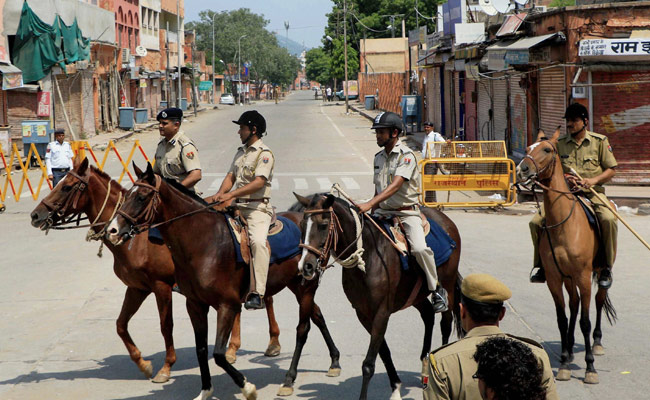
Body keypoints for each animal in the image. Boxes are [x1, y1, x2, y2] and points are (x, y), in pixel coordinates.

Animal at [27, 155, 288, 382]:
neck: (136, 240)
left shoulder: (160, 285)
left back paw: (273, 343)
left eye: (67, 187)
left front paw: (166, 367)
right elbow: (120, 325)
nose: (35, 215)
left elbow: (166, 325)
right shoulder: (137, 288)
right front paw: (143, 364)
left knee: (266, 298)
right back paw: (234, 348)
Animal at [102, 162, 340, 400]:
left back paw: (290, 379)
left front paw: (247, 387)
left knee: (303, 328)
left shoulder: (227, 305)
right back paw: (334, 361)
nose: (112, 230)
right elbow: (201, 350)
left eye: (141, 197)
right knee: (317, 315)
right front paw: (205, 390)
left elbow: (218, 353)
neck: (204, 243)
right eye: (127, 195)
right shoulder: (195, 305)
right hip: (296, 285)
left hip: (306, 286)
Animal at [294, 192, 460, 398]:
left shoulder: (381, 312)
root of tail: (446, 220)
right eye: (302, 225)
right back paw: (424, 365)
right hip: (414, 296)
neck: (369, 256)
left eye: (323, 225)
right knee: (428, 314)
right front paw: (396, 387)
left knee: (445, 323)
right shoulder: (364, 314)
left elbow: (368, 364)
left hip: (448, 287)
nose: (305, 266)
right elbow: (384, 352)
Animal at [512, 129, 616, 384]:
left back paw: (597, 343)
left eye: (547, 150)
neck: (564, 225)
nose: (522, 169)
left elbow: (585, 321)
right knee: (574, 304)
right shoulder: (554, 278)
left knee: (598, 301)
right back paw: (568, 349)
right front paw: (564, 362)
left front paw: (590, 367)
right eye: (527, 148)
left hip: (598, 271)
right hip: (568, 278)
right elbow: (562, 318)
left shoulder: (583, 276)